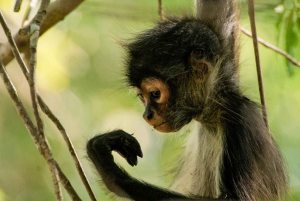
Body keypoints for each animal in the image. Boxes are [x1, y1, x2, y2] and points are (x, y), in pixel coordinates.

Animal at [85, 0, 288, 200]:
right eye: (142, 97)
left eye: (155, 94)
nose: (147, 115)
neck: (214, 116)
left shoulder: (240, 116)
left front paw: (111, 173)